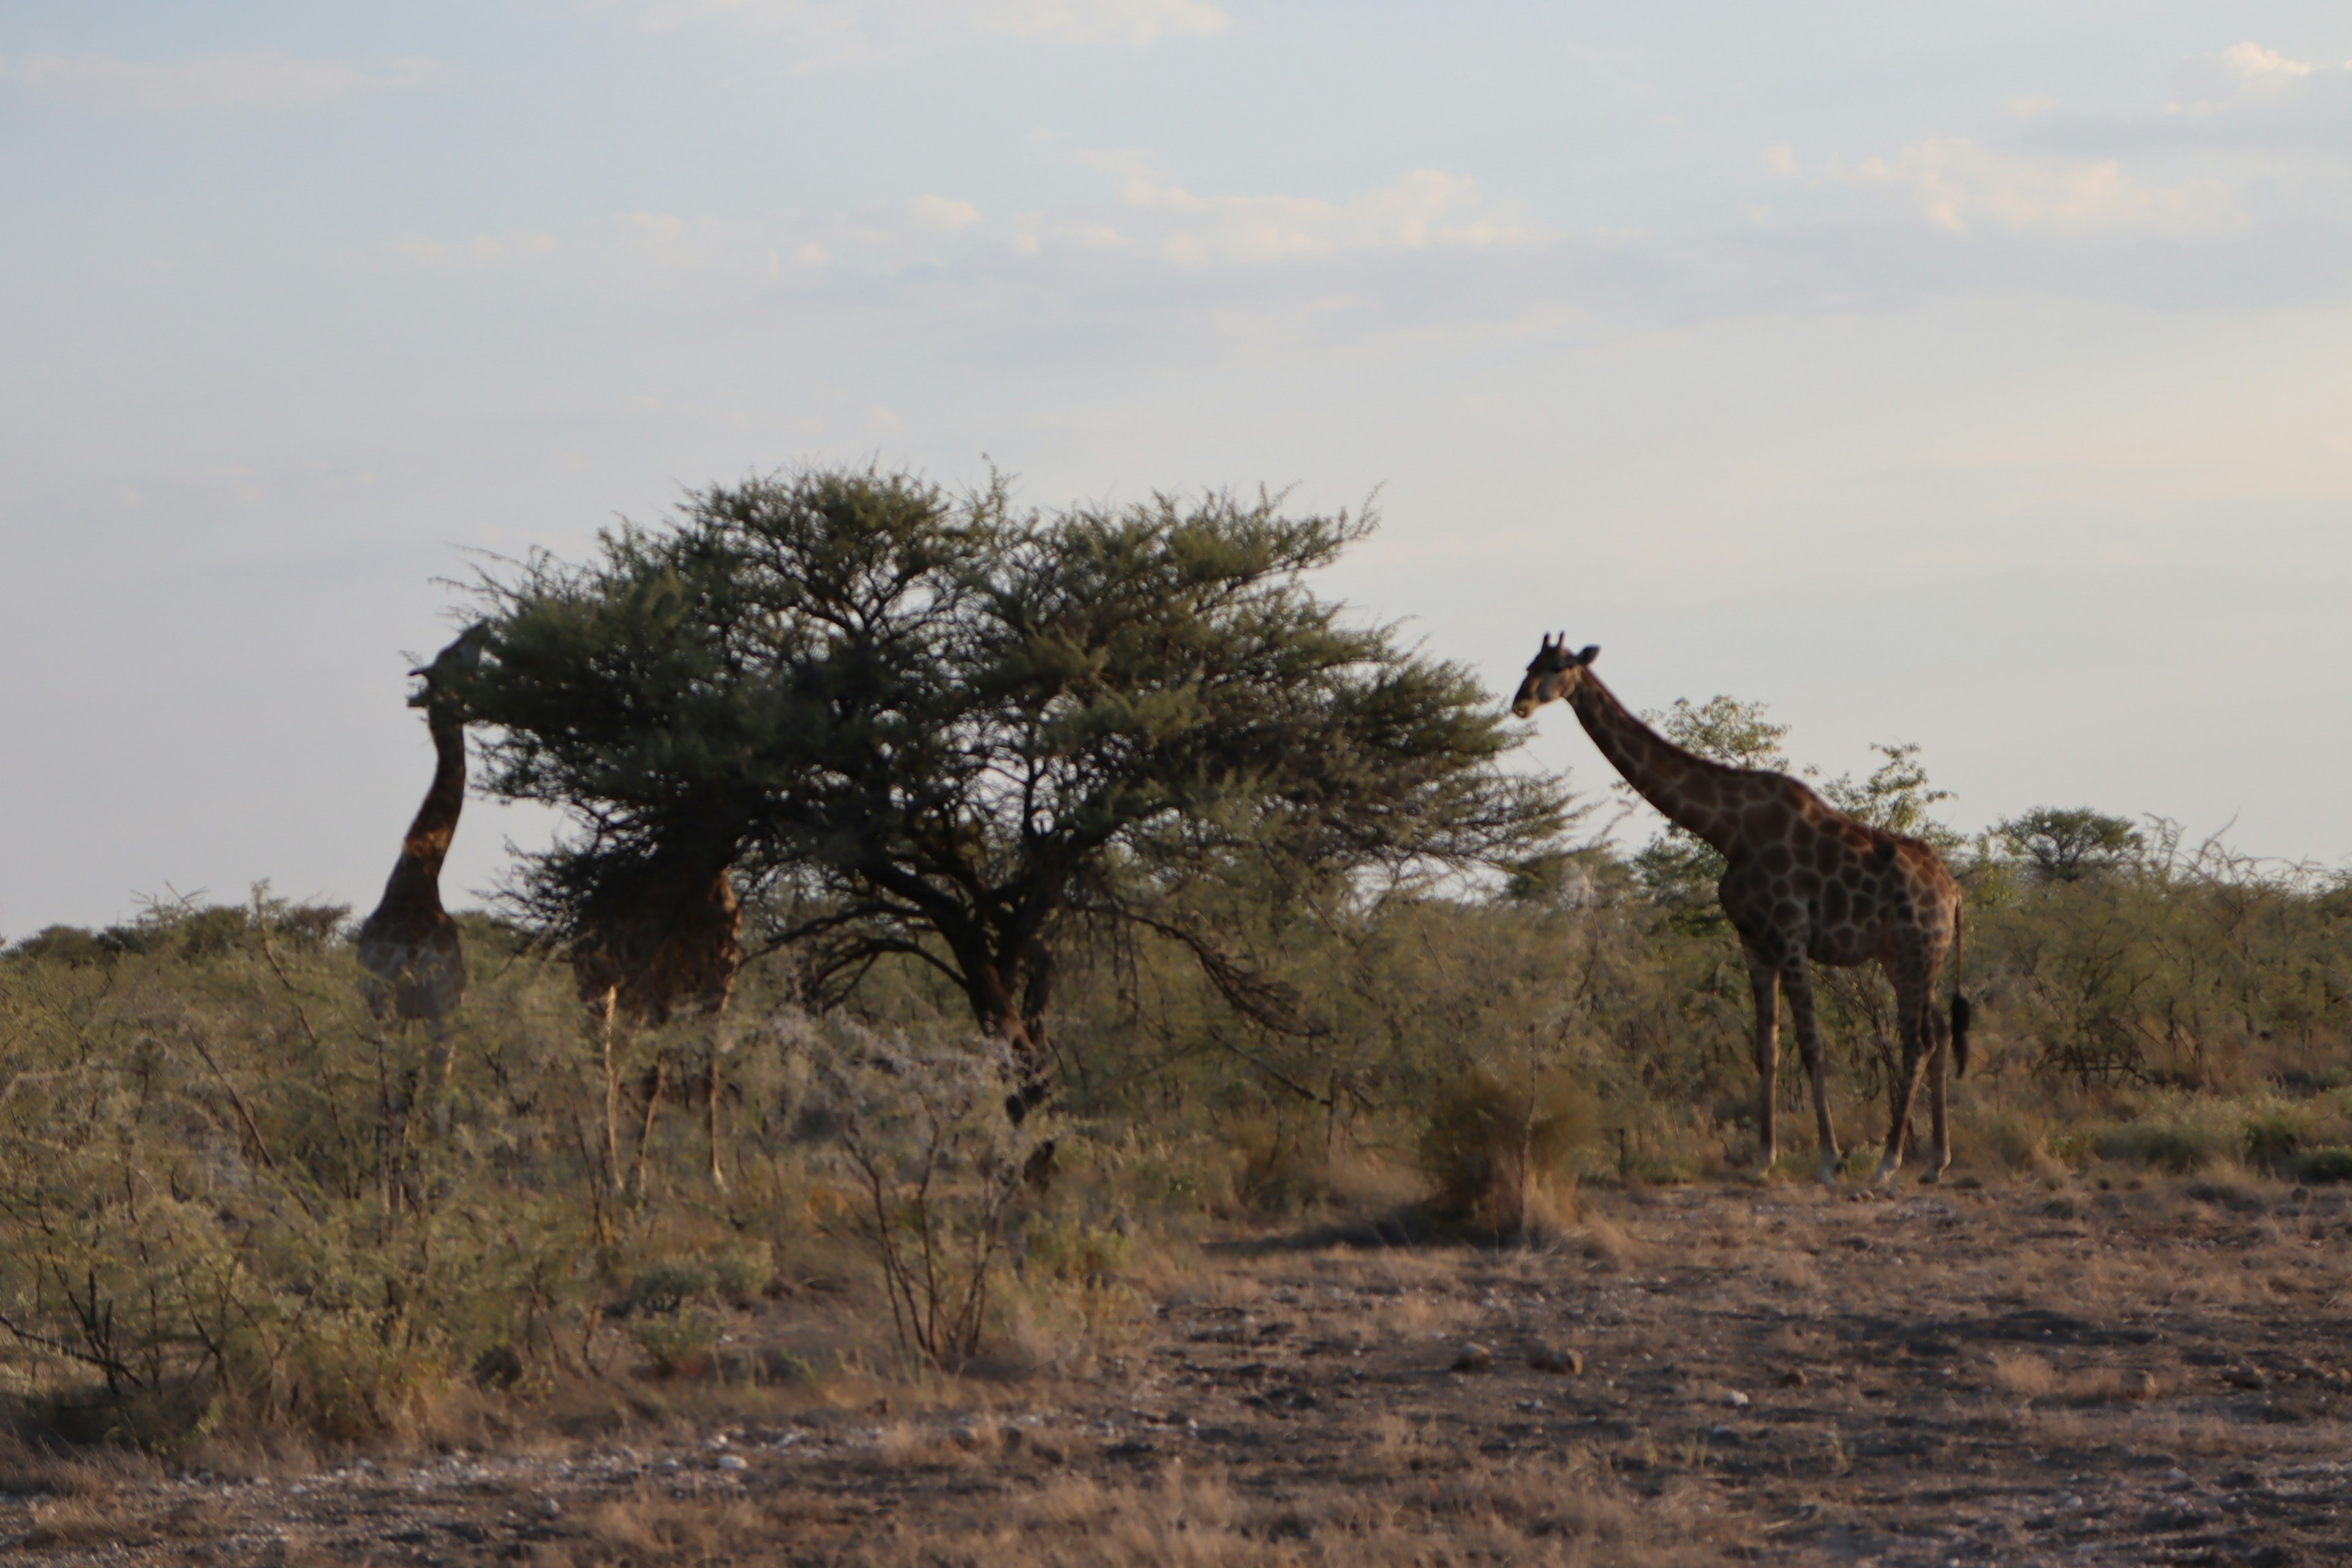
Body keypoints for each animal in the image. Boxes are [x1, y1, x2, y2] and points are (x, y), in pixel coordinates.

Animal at [1505, 630, 1966, 1185]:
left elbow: (1812, 1044)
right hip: (1905, 957)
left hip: (1918, 950)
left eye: (1558, 666)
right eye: (1529, 664)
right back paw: (1935, 1162)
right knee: (1940, 1033)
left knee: (1918, 1040)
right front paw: (1762, 1160)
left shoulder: (1790, 934)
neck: (1728, 830)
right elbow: (1767, 1049)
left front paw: (1828, 1160)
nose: (1520, 704)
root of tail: (1954, 892)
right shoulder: (1753, 939)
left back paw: (1887, 1162)